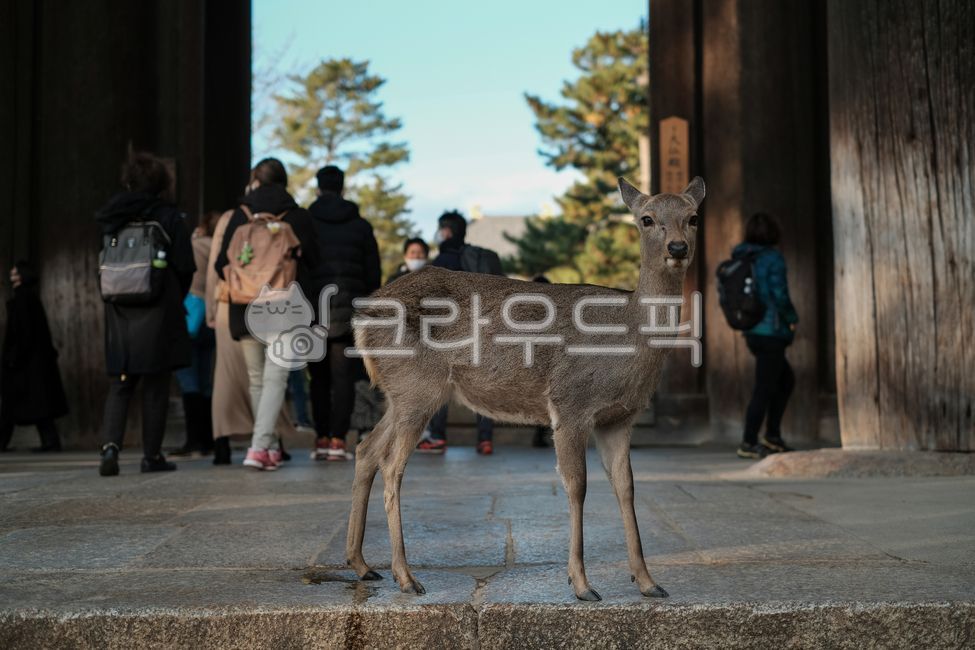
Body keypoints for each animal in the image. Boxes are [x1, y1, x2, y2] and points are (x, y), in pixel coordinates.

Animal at [346, 176, 705, 601]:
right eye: (647, 219)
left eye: (693, 217)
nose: (678, 248)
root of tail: (362, 317)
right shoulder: (570, 403)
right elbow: (577, 486)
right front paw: (581, 584)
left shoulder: (618, 419)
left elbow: (627, 487)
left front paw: (648, 581)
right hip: (418, 388)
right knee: (390, 464)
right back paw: (405, 576)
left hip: (401, 394)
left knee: (367, 449)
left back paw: (361, 564)